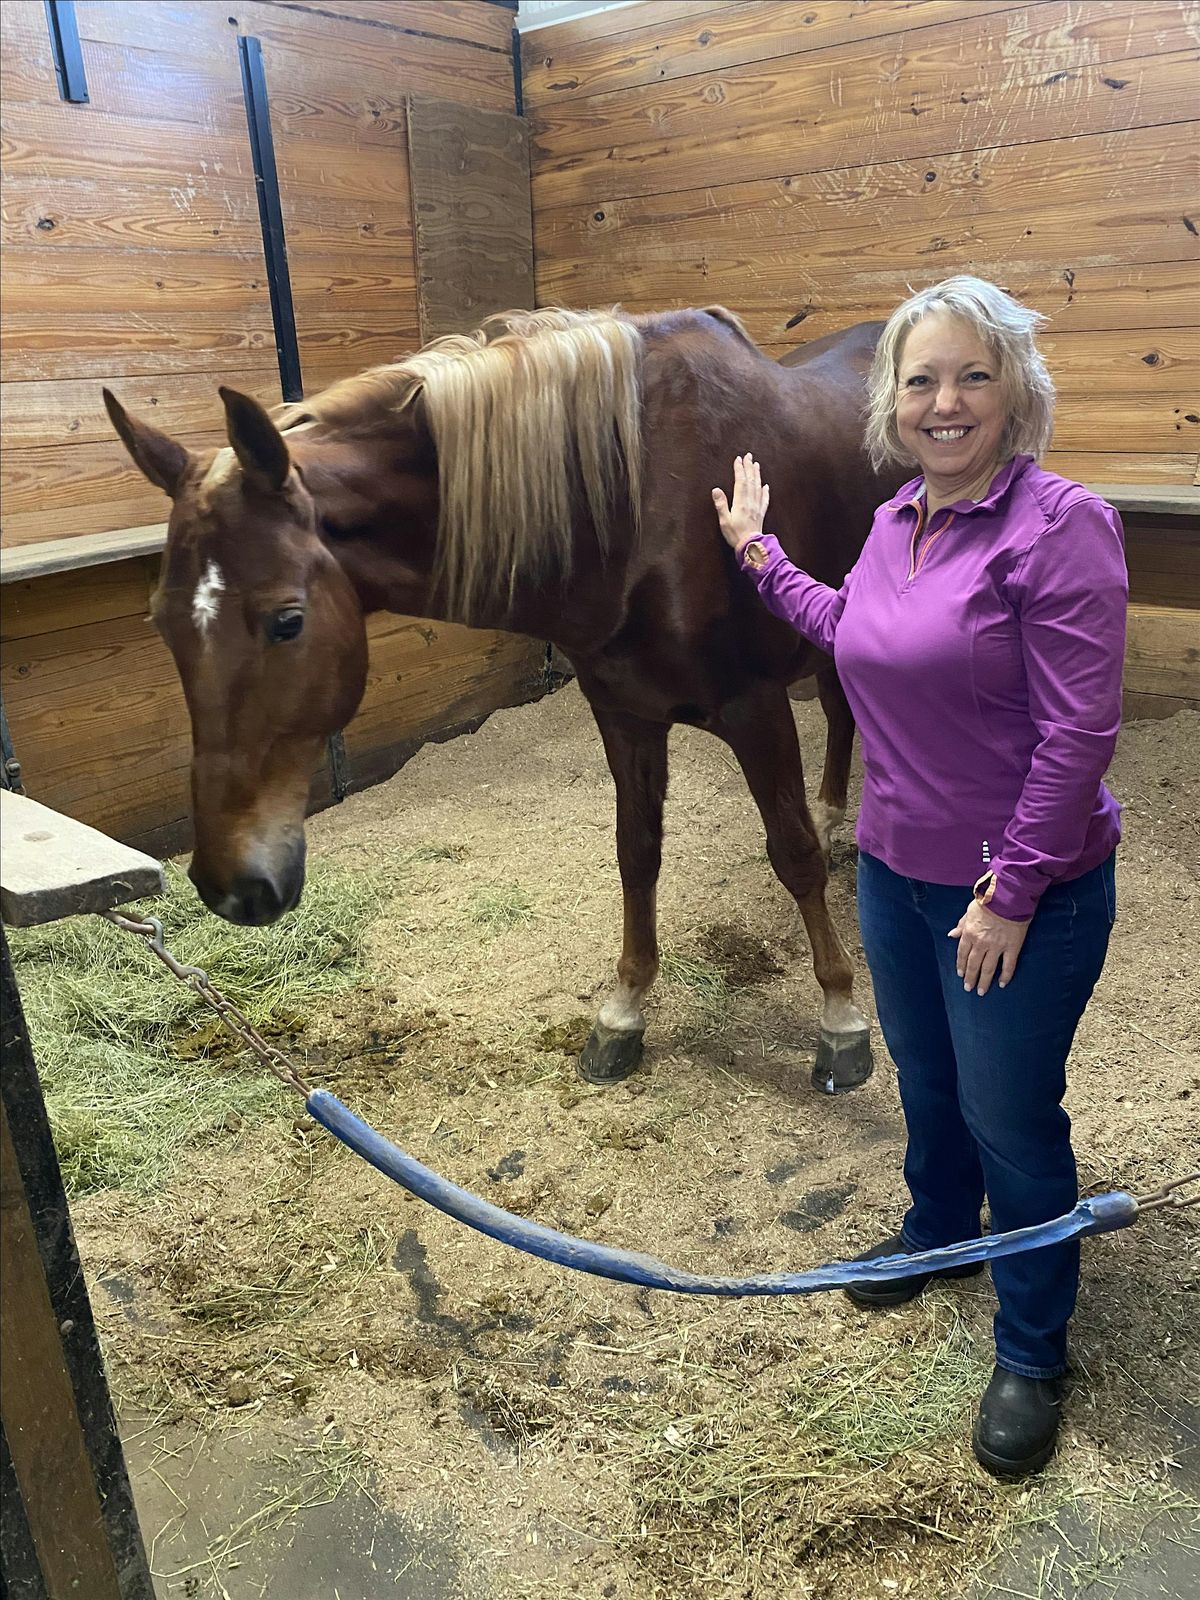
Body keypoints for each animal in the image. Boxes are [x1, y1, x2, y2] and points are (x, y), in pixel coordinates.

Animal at [104, 306, 905, 1094]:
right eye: (161, 620)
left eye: (287, 620)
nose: (229, 885)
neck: (642, 509)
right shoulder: (624, 712)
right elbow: (636, 853)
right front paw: (623, 1011)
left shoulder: (755, 708)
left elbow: (793, 855)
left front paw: (841, 1020)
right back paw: (835, 814)